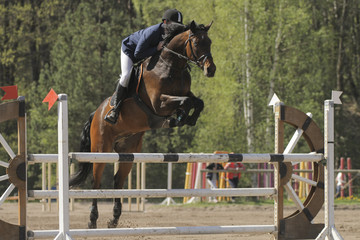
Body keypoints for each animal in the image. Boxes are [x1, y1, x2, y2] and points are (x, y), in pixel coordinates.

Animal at [70, 20, 217, 229]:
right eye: (197, 43)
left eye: (209, 42)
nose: (210, 70)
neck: (172, 66)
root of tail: (96, 114)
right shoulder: (159, 103)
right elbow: (186, 102)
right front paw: (178, 118)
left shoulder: (184, 94)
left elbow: (197, 102)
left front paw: (188, 118)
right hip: (101, 149)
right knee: (96, 183)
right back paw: (92, 220)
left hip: (128, 151)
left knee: (118, 181)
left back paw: (114, 219)